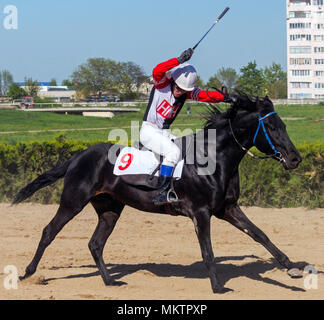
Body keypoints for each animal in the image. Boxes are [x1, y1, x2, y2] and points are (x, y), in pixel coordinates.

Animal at [12, 94, 304, 292]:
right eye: (272, 127)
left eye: (284, 125)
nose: (295, 159)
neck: (214, 157)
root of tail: (78, 156)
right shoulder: (201, 212)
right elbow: (208, 251)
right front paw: (218, 286)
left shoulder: (227, 208)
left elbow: (260, 235)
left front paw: (292, 267)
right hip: (73, 201)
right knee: (49, 232)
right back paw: (28, 273)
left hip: (110, 209)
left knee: (95, 243)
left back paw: (110, 281)